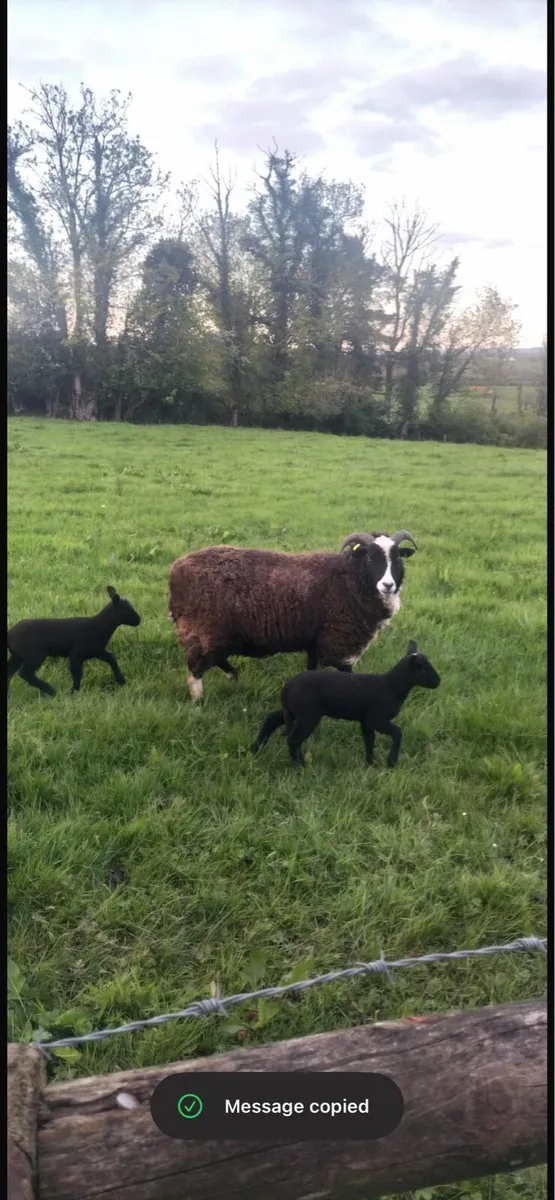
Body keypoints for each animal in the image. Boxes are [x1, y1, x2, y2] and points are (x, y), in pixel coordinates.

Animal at [7, 587, 141, 697]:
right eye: (125, 610)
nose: (139, 620)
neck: (99, 626)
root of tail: (10, 634)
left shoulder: (96, 650)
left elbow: (111, 658)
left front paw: (121, 681)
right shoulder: (77, 653)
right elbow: (77, 673)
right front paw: (74, 693)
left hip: (17, 655)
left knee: (9, 671)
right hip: (35, 654)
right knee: (25, 673)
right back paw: (50, 691)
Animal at [168, 529, 417, 700]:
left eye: (397, 558)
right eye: (369, 558)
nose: (388, 585)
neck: (348, 580)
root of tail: (176, 571)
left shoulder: (314, 642)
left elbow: (311, 669)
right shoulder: (338, 642)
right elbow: (347, 674)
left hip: (219, 634)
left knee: (215, 659)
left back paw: (233, 677)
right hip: (206, 628)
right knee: (196, 666)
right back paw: (199, 701)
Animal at [250, 640, 440, 768]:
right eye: (424, 668)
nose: (438, 682)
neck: (392, 686)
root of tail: (287, 686)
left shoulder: (366, 721)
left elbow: (369, 740)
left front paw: (371, 763)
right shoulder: (376, 718)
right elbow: (398, 732)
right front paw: (391, 761)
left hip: (293, 710)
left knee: (271, 719)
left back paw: (255, 749)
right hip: (308, 715)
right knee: (293, 739)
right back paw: (300, 766)